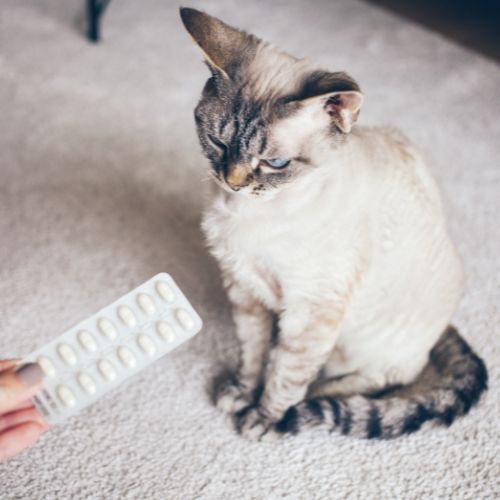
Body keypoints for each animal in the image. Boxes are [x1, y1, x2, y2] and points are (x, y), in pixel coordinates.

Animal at [181, 5, 488, 440]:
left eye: (275, 163)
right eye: (218, 143)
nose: (233, 181)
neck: (248, 213)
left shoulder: (311, 312)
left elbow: (285, 377)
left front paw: (265, 418)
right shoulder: (243, 288)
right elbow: (251, 353)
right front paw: (241, 392)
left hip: (358, 345)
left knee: (380, 381)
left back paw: (315, 396)